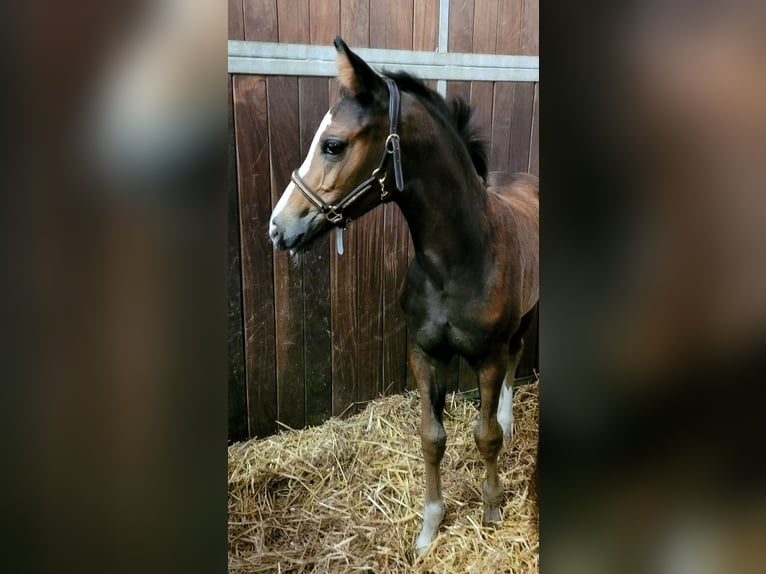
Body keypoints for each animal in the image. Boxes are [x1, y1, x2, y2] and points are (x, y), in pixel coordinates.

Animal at [269, 37, 539, 553]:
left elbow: (485, 435)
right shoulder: (423, 352)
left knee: (517, 358)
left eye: (333, 144)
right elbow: (432, 437)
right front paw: (429, 527)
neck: (455, 263)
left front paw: (493, 508)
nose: (278, 228)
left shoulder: (488, 357)